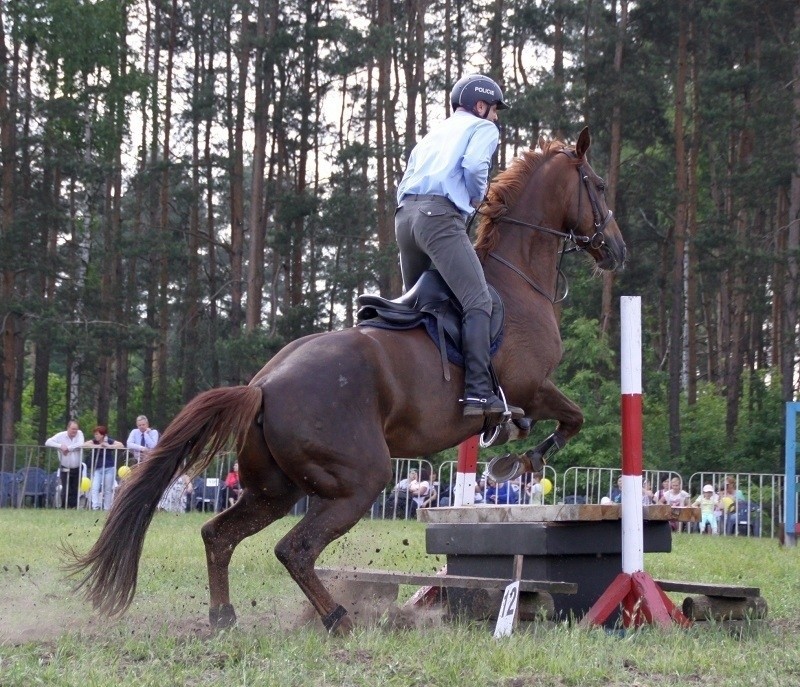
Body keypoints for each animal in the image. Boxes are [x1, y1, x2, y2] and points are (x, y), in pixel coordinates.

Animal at [69, 127, 624, 636]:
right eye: (597, 184)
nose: (617, 250)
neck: (516, 277)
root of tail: (263, 386)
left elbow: (566, 420)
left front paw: (517, 456)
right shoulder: (532, 387)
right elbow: (571, 418)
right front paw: (520, 460)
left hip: (276, 490)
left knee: (218, 534)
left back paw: (224, 616)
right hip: (358, 481)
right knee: (294, 548)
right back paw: (337, 617)